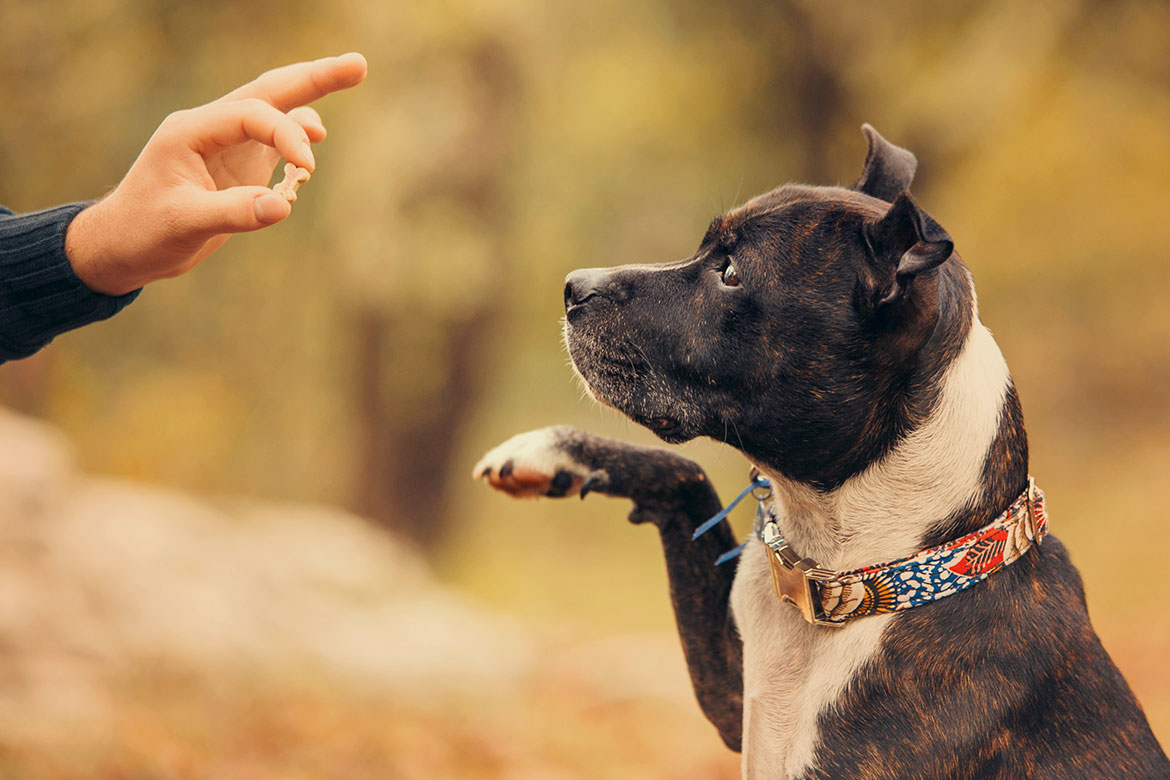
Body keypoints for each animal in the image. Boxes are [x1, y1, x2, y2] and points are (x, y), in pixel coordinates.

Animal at [470, 128, 1165, 780]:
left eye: (731, 273)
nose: (572, 287)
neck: (852, 573)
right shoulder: (732, 694)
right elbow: (687, 476)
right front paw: (550, 451)